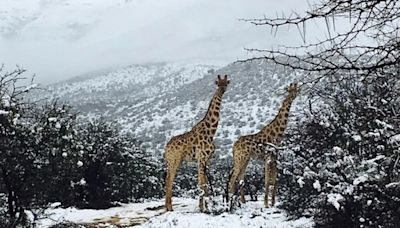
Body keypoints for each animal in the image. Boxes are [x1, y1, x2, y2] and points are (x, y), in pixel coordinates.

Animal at [164, 75, 230, 212]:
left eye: (226, 83)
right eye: (218, 84)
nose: (222, 90)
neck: (211, 132)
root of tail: (166, 147)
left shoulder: (207, 159)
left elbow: (205, 184)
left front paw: (207, 207)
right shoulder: (201, 158)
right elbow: (201, 183)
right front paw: (202, 208)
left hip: (174, 161)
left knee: (168, 178)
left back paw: (167, 207)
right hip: (174, 160)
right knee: (169, 179)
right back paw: (169, 208)